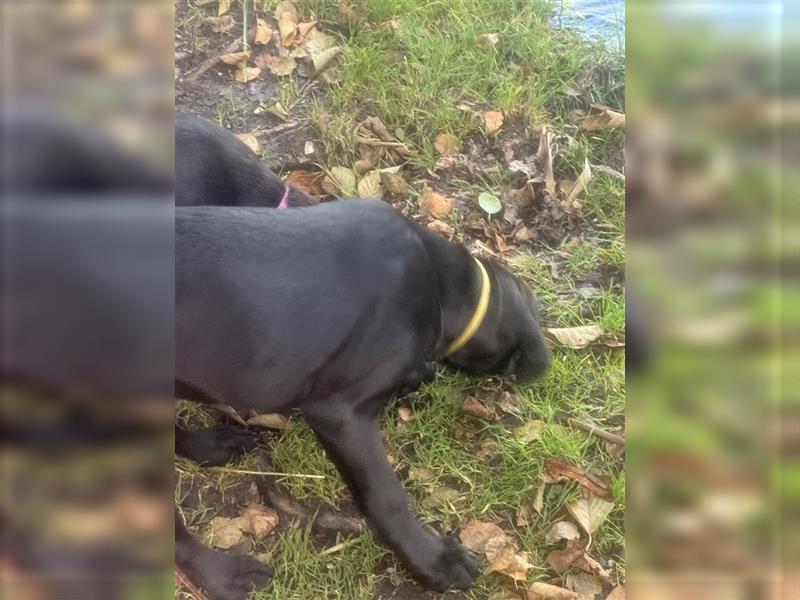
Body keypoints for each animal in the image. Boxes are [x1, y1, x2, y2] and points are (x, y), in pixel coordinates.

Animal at [177, 200, 552, 592]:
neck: (439, 285)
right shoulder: (340, 414)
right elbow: (387, 496)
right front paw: (432, 561)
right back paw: (224, 573)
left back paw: (210, 445)